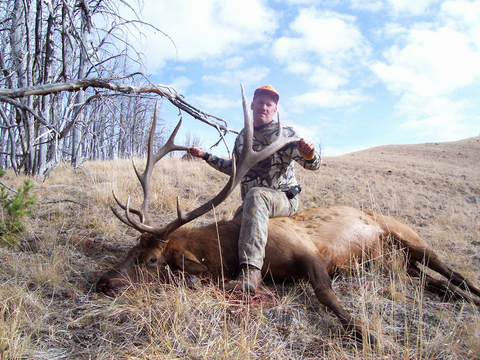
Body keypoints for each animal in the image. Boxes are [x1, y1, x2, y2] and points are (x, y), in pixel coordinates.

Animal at [97, 86, 480, 344]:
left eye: (151, 260)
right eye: (131, 251)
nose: (104, 282)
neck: (229, 250)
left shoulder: (309, 253)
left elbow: (325, 294)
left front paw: (368, 335)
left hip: (407, 236)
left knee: (455, 272)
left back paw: (472, 295)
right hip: (395, 264)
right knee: (436, 282)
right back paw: (460, 298)